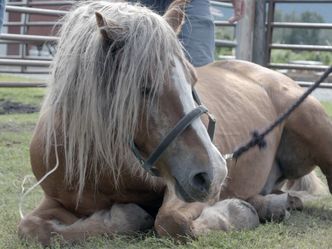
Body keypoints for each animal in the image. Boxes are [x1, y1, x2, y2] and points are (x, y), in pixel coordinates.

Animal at [18, 0, 332, 245]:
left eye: (193, 80)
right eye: (144, 88)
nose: (215, 172)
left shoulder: (180, 186)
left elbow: (170, 222)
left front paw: (235, 213)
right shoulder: (56, 200)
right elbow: (31, 229)